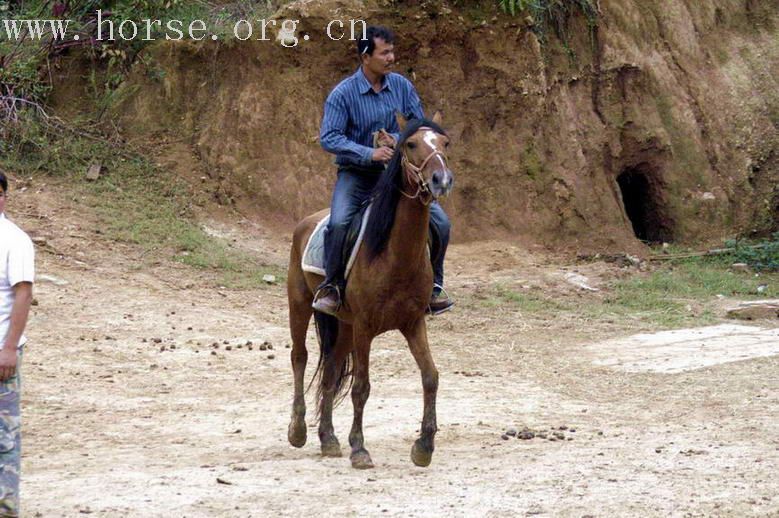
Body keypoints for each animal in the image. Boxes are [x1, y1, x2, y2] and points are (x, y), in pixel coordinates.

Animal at [288, 112, 458, 472]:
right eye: (411, 144)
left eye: (445, 143)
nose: (441, 180)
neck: (394, 253)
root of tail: (307, 221)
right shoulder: (366, 326)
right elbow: (361, 388)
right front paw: (359, 448)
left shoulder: (413, 323)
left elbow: (430, 376)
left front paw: (424, 446)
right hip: (300, 304)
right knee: (300, 357)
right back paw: (297, 431)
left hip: (344, 326)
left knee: (330, 371)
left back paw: (328, 438)